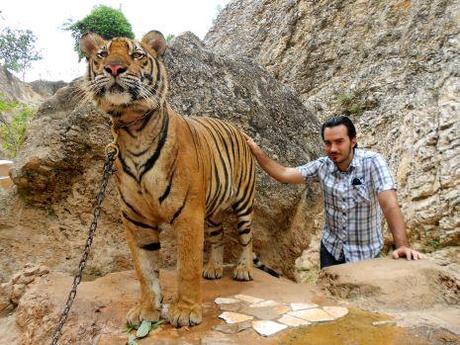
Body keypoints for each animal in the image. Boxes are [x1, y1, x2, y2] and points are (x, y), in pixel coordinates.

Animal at [80, 30, 256, 326]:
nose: (114, 68)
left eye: (137, 54)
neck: (134, 129)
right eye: (102, 54)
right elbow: (145, 271)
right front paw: (147, 311)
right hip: (212, 210)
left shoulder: (188, 214)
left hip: (243, 203)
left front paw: (185, 312)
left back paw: (244, 269)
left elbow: (187, 266)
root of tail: (237, 129)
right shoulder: (136, 220)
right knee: (218, 236)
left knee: (247, 237)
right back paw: (213, 268)